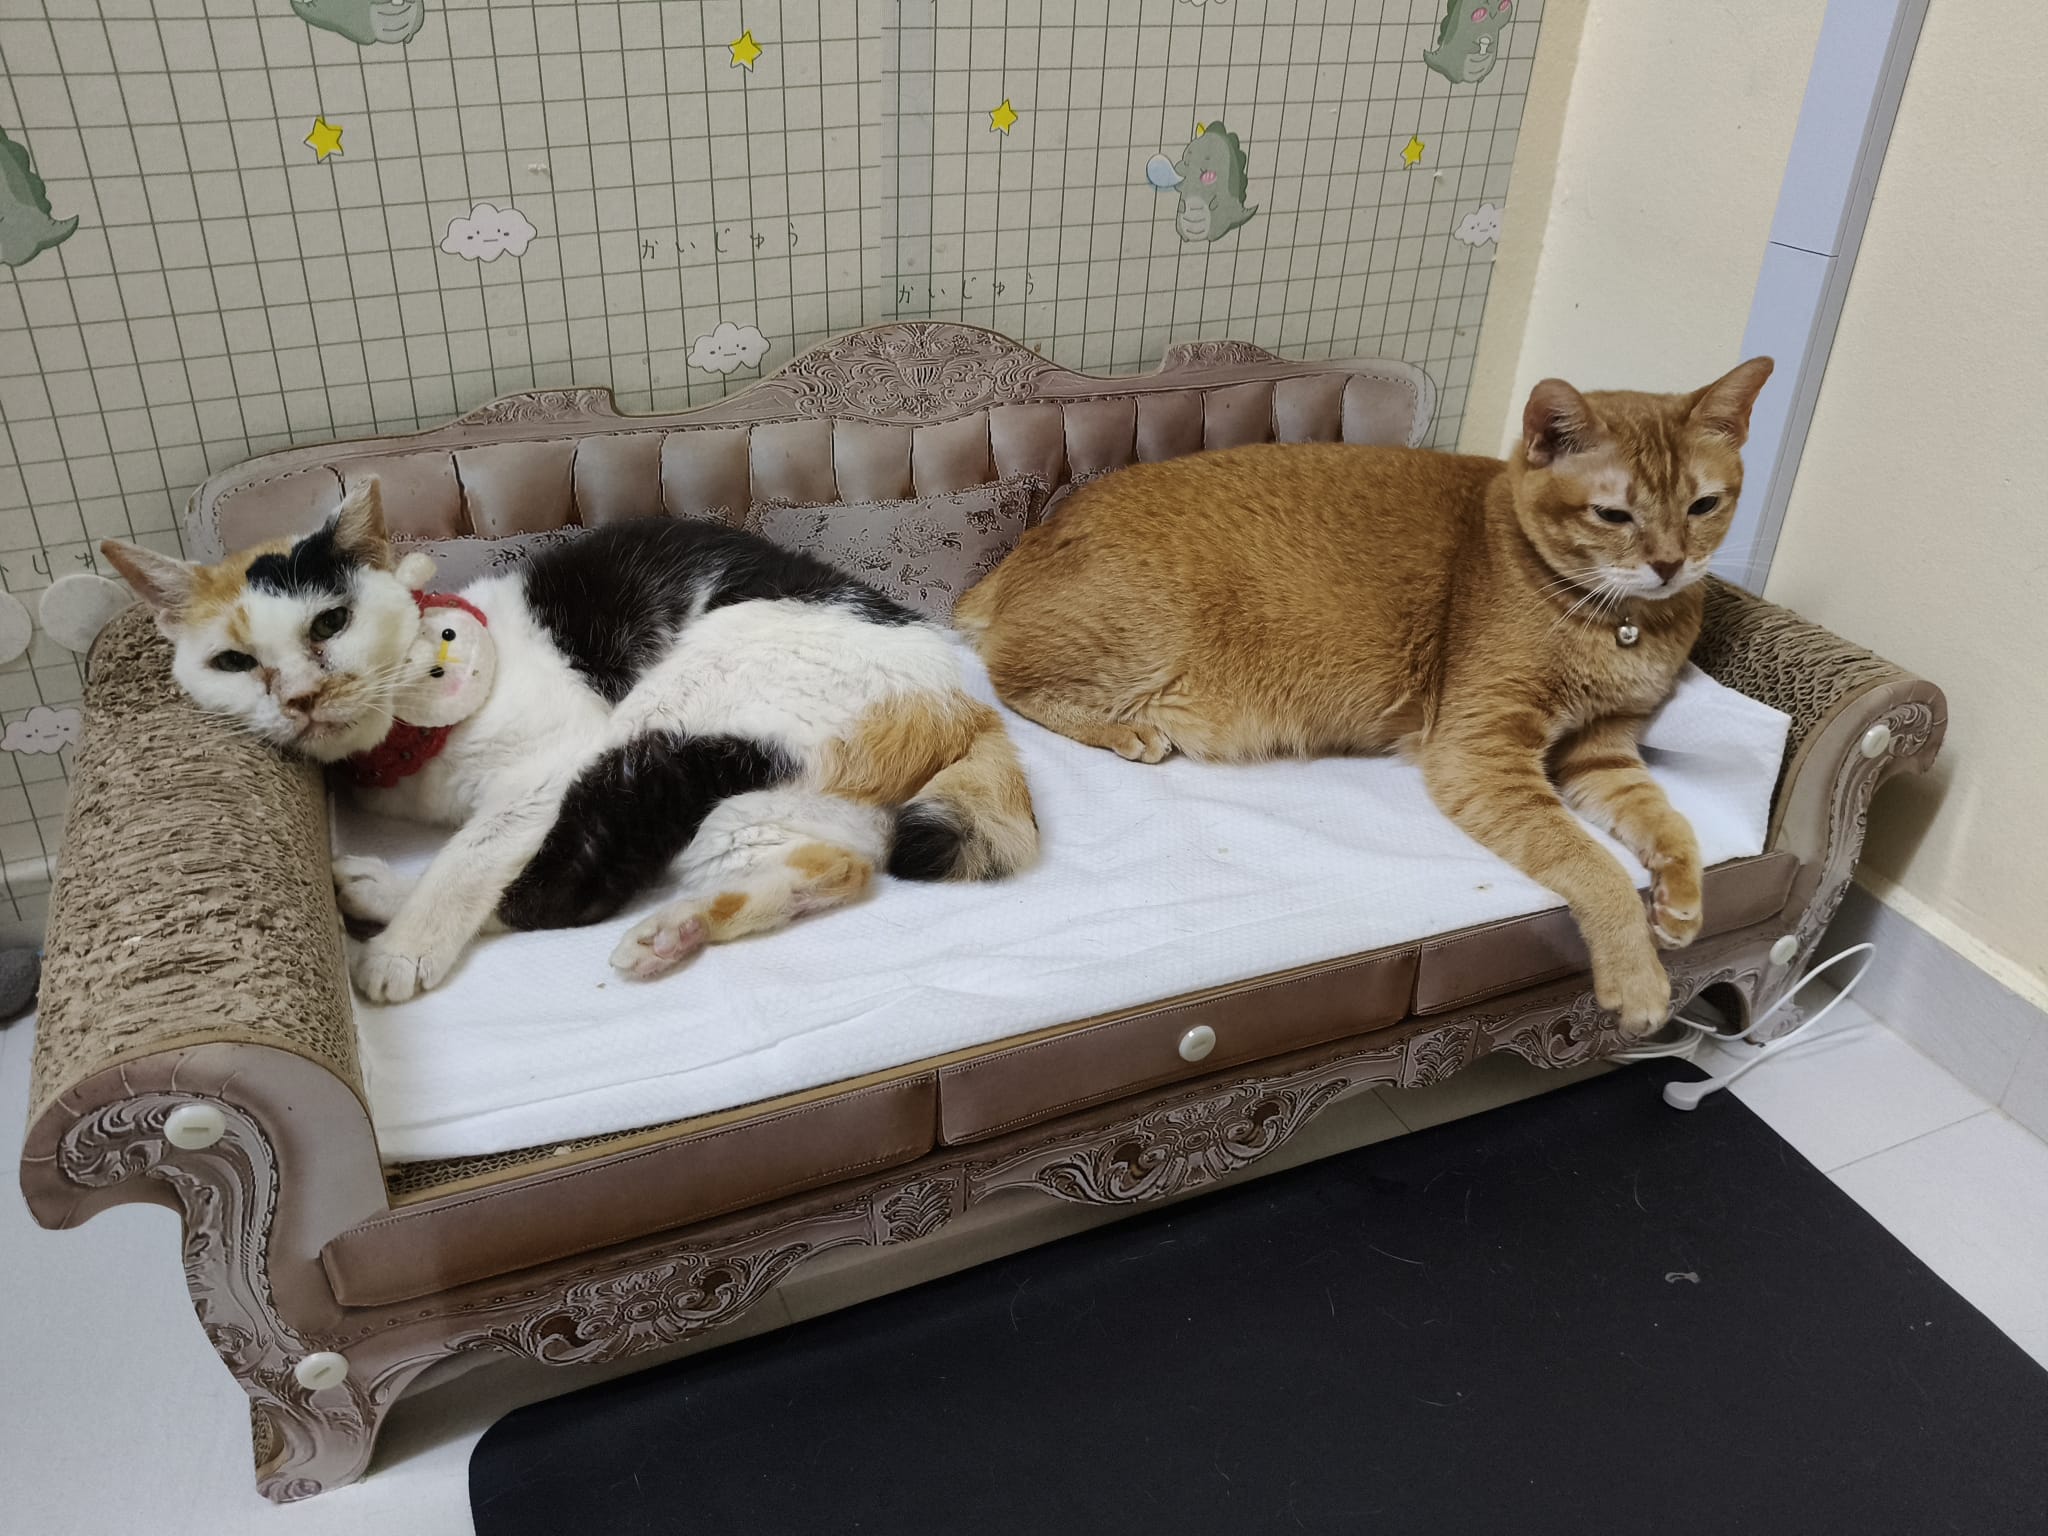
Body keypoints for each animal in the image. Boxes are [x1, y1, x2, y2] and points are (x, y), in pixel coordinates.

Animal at [102, 482, 1036, 1003]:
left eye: (330, 622)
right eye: (233, 662)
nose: (299, 697)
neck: (403, 748)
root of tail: (966, 699)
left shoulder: (548, 767)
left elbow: (472, 859)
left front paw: (409, 944)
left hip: (668, 722)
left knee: (567, 885)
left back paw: (385, 908)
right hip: (753, 798)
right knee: (838, 866)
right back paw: (676, 933)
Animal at [954, 359, 1774, 1034]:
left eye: (1705, 506)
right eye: (1613, 514)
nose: (1669, 565)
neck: (1624, 627)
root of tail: (1023, 549)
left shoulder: (1602, 750)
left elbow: (1669, 823)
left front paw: (1681, 905)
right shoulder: (1480, 753)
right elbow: (1593, 865)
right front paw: (1639, 980)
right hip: (1148, 635)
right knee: (1009, 677)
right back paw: (1129, 731)